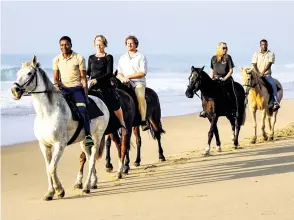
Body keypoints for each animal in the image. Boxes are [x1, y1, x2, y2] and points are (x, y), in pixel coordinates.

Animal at [10, 55, 110, 200]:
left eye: (29, 73)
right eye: (18, 73)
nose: (15, 90)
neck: (47, 113)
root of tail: (102, 102)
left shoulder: (59, 144)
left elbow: (52, 168)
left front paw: (59, 190)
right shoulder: (44, 146)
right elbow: (48, 168)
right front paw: (50, 193)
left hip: (97, 138)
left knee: (92, 160)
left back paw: (86, 187)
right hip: (84, 142)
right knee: (90, 157)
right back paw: (93, 182)